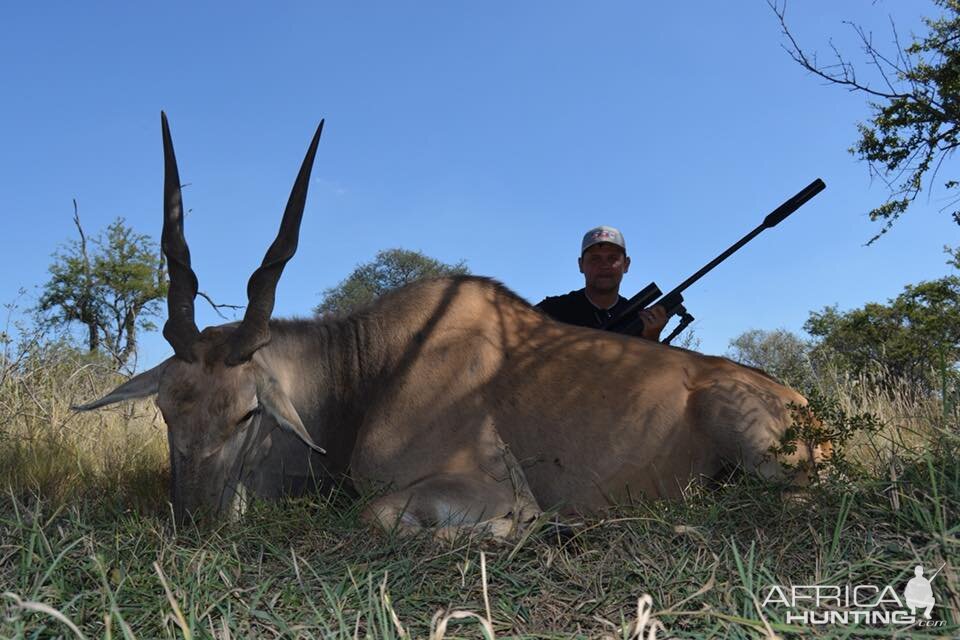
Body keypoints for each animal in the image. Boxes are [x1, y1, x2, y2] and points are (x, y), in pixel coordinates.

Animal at [77, 115, 824, 536]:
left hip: (767, 458)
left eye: (247, 414)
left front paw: (530, 530)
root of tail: (800, 402)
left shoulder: (478, 487)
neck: (372, 370)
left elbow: (383, 518)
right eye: (168, 413)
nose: (195, 526)